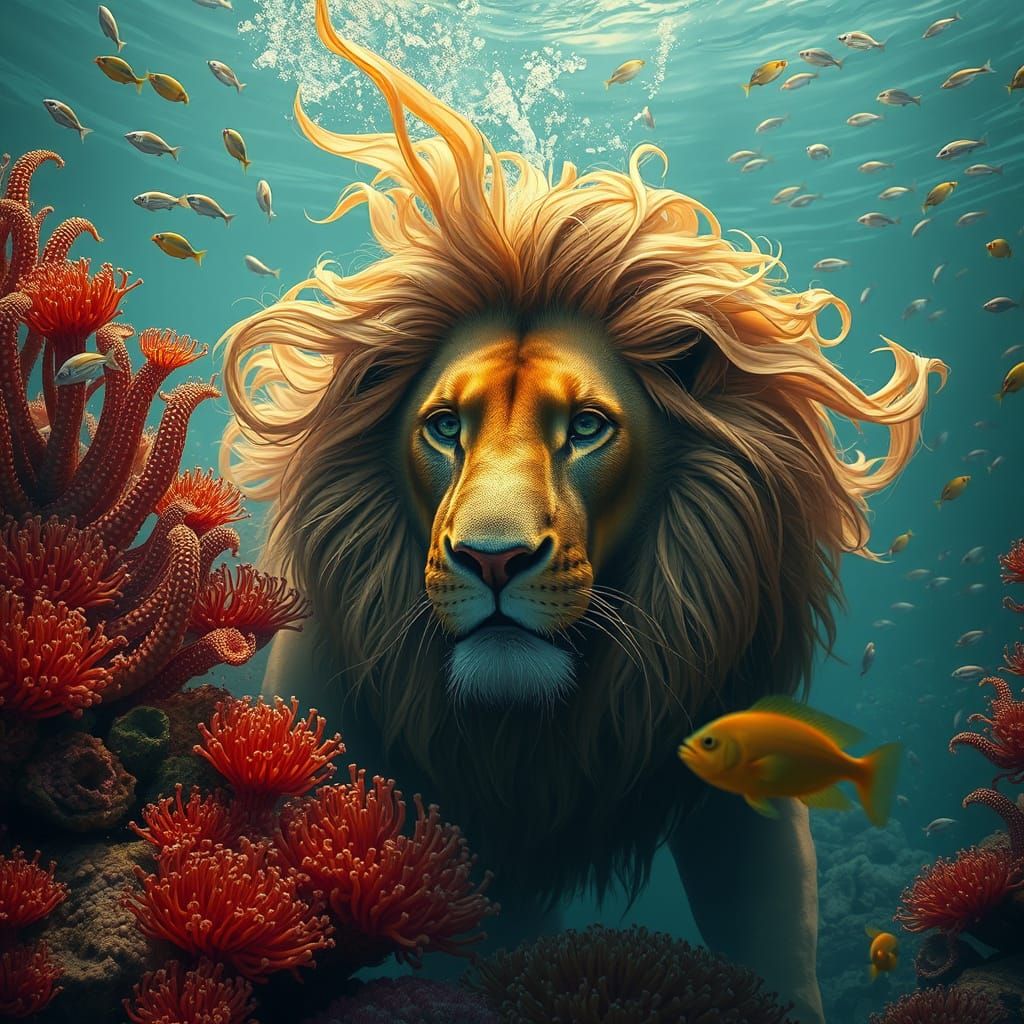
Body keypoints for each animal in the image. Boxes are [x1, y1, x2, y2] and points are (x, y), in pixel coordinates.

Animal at [220, 3, 946, 1020]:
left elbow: (776, 949)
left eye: (589, 429)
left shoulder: (737, 788)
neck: (532, 742)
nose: (493, 560)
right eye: (444, 426)